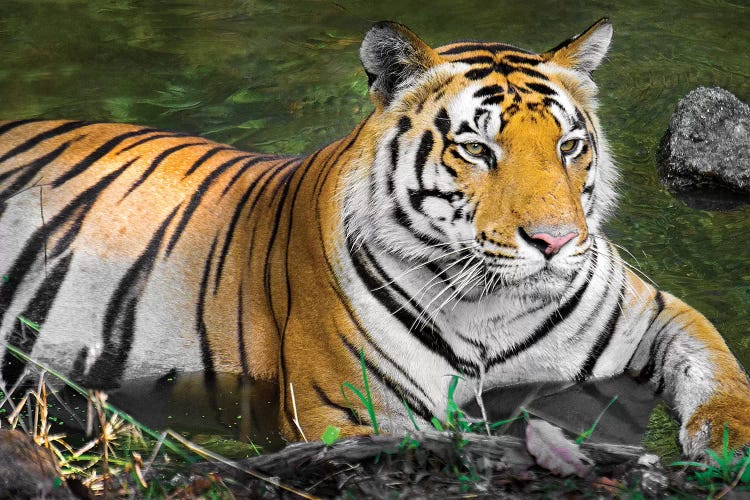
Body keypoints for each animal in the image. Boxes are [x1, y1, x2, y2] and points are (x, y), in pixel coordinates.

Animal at [0, 18, 748, 458]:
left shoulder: (657, 313)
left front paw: (728, 441)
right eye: (477, 148)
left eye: (569, 145)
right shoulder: (353, 413)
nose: (557, 242)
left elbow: (719, 370)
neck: (495, 305)